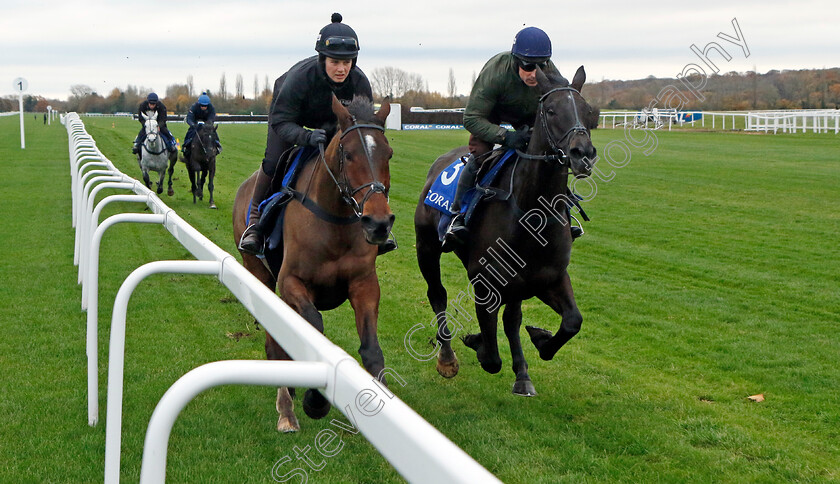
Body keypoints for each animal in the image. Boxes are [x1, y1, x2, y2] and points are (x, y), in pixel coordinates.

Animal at [230, 94, 394, 432]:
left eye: (389, 153)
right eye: (349, 154)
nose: (379, 223)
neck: (335, 221)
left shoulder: (364, 284)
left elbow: (371, 348)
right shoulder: (291, 282)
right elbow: (315, 328)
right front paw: (315, 401)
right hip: (259, 273)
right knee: (274, 343)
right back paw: (286, 408)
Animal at [412, 66, 596, 396]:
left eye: (587, 111)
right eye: (551, 110)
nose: (583, 154)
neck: (533, 214)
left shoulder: (548, 276)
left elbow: (572, 320)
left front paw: (540, 341)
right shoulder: (486, 282)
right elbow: (491, 356)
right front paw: (478, 343)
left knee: (512, 318)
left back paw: (522, 372)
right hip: (427, 247)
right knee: (438, 294)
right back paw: (446, 358)